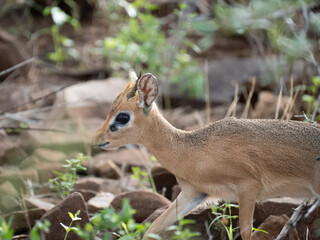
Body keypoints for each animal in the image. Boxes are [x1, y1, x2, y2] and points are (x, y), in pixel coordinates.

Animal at [92, 71, 320, 240]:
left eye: (123, 117)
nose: (96, 139)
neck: (190, 150)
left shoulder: (248, 188)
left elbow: (247, 233)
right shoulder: (193, 194)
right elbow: (152, 229)